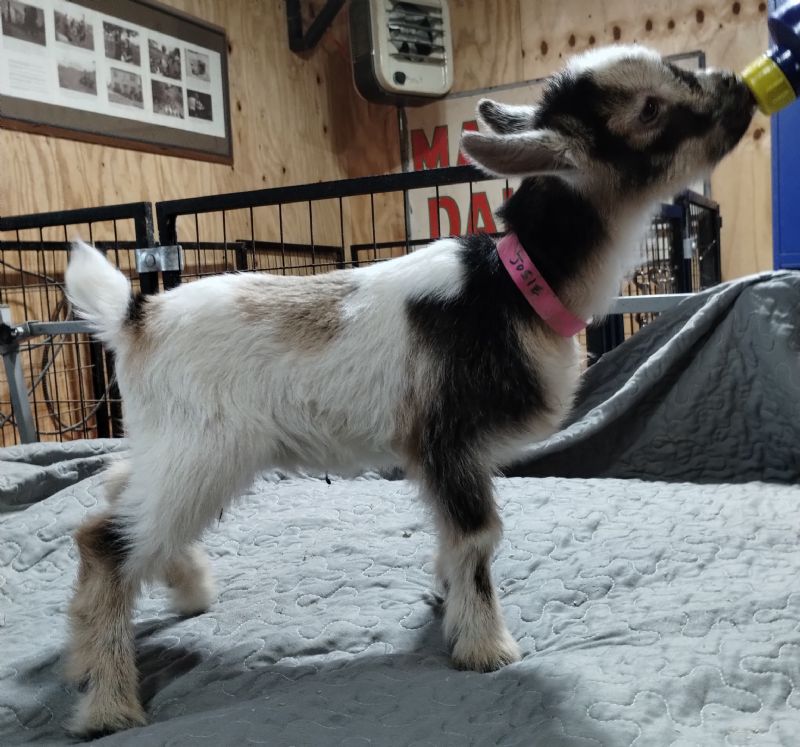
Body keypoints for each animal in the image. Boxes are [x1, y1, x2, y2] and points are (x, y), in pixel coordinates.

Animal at [64, 45, 754, 735]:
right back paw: (109, 704)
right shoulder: (449, 441)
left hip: (169, 446)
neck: (515, 285)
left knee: (117, 490)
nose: (743, 91)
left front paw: (444, 603)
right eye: (650, 108)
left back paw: (166, 603)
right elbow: (477, 537)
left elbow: (452, 540)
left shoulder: (445, 458)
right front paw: (485, 648)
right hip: (204, 452)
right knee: (105, 542)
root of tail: (136, 317)